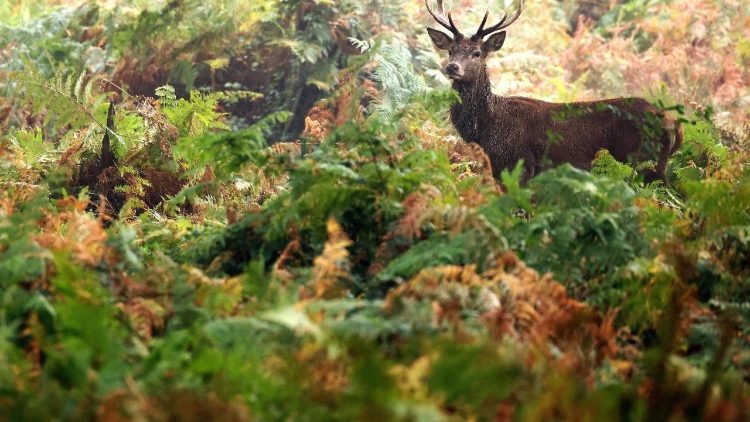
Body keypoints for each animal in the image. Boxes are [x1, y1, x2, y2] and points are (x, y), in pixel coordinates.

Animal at [425, 0, 682, 183]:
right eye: (450, 50)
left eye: (477, 53)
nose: (452, 67)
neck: (484, 130)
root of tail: (673, 123)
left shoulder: (520, 164)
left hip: (645, 164)